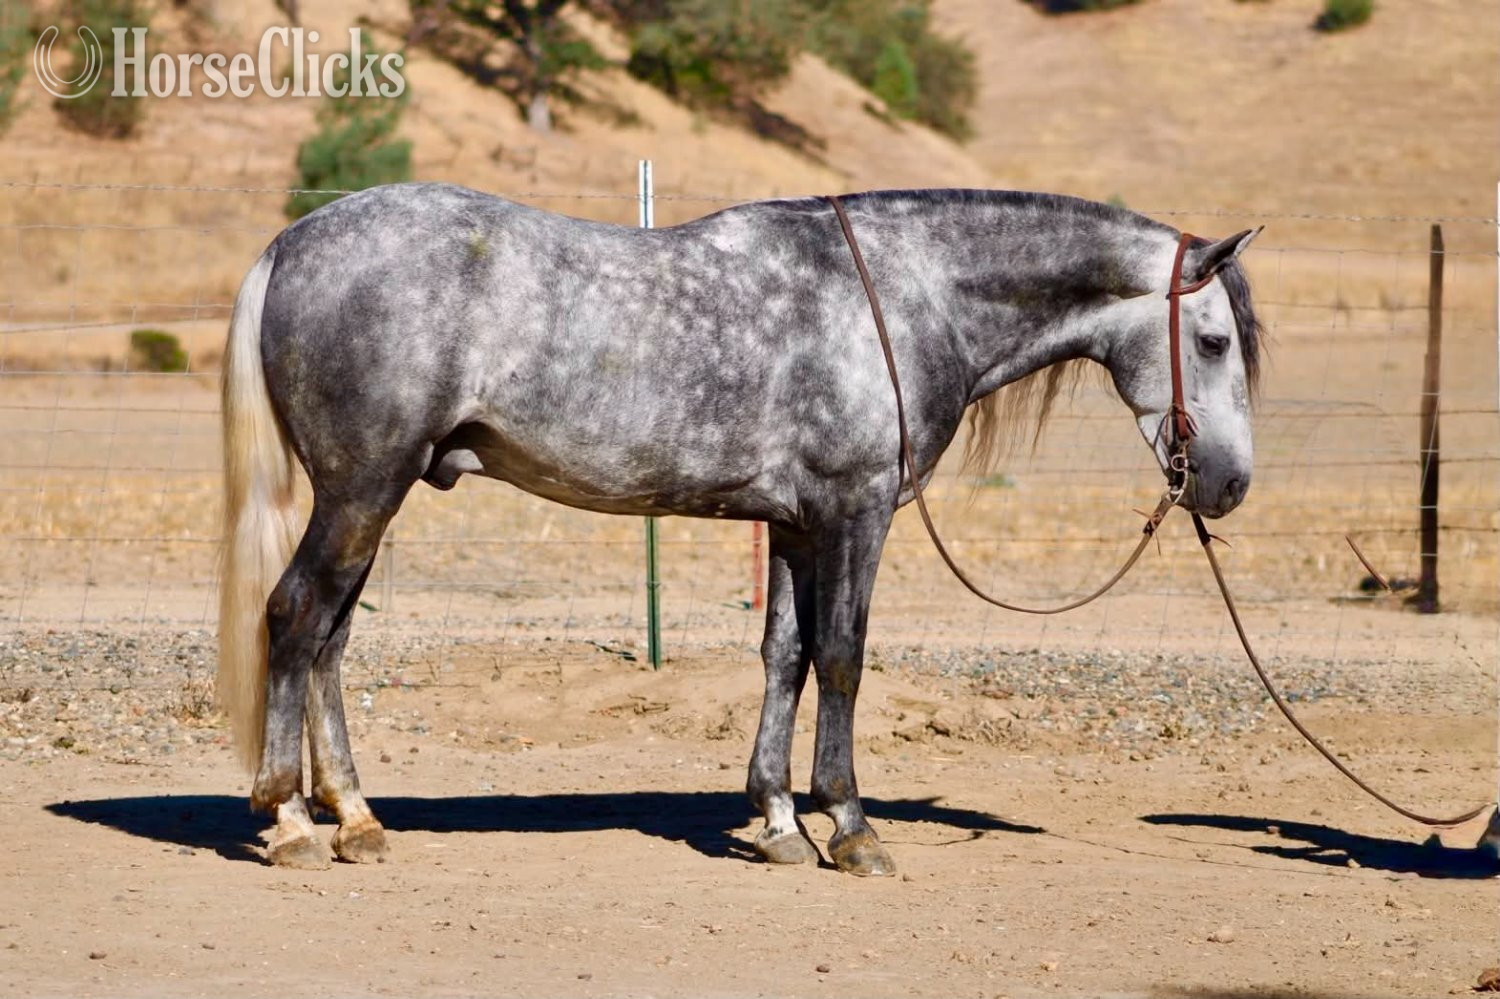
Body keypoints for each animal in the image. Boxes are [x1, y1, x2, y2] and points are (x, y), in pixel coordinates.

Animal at [218, 184, 1262, 873]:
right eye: (1214, 341)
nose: (1229, 483)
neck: (902, 295)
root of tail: (293, 241)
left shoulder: (796, 526)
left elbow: (784, 656)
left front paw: (778, 821)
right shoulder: (854, 515)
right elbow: (842, 656)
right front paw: (850, 825)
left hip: (370, 497)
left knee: (331, 639)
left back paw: (356, 818)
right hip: (362, 490)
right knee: (297, 618)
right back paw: (292, 821)